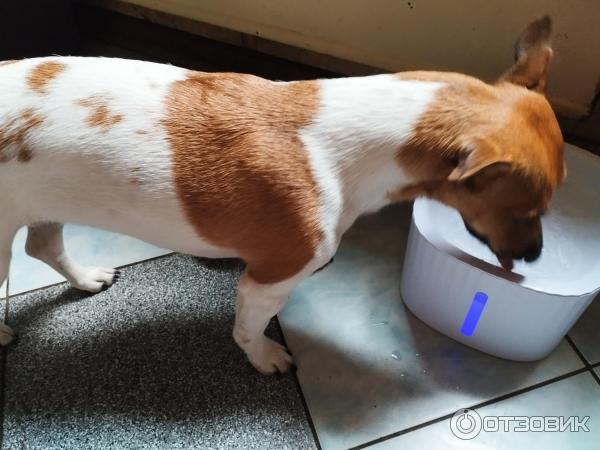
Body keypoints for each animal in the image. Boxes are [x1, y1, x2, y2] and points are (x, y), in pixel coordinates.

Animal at [0, 16, 564, 372]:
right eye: (526, 211)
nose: (537, 255)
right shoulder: (267, 280)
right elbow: (249, 328)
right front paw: (265, 358)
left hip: (45, 205)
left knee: (43, 245)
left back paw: (86, 278)